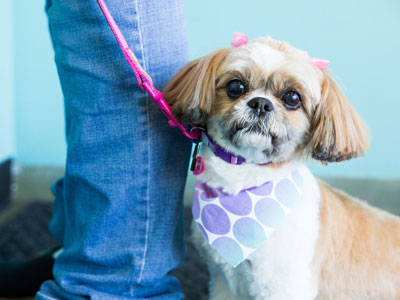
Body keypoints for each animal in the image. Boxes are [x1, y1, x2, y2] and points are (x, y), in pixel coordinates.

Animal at [162, 36, 400, 298]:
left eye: (292, 98)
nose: (260, 104)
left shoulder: (283, 286)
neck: (245, 181)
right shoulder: (224, 283)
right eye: (236, 86)